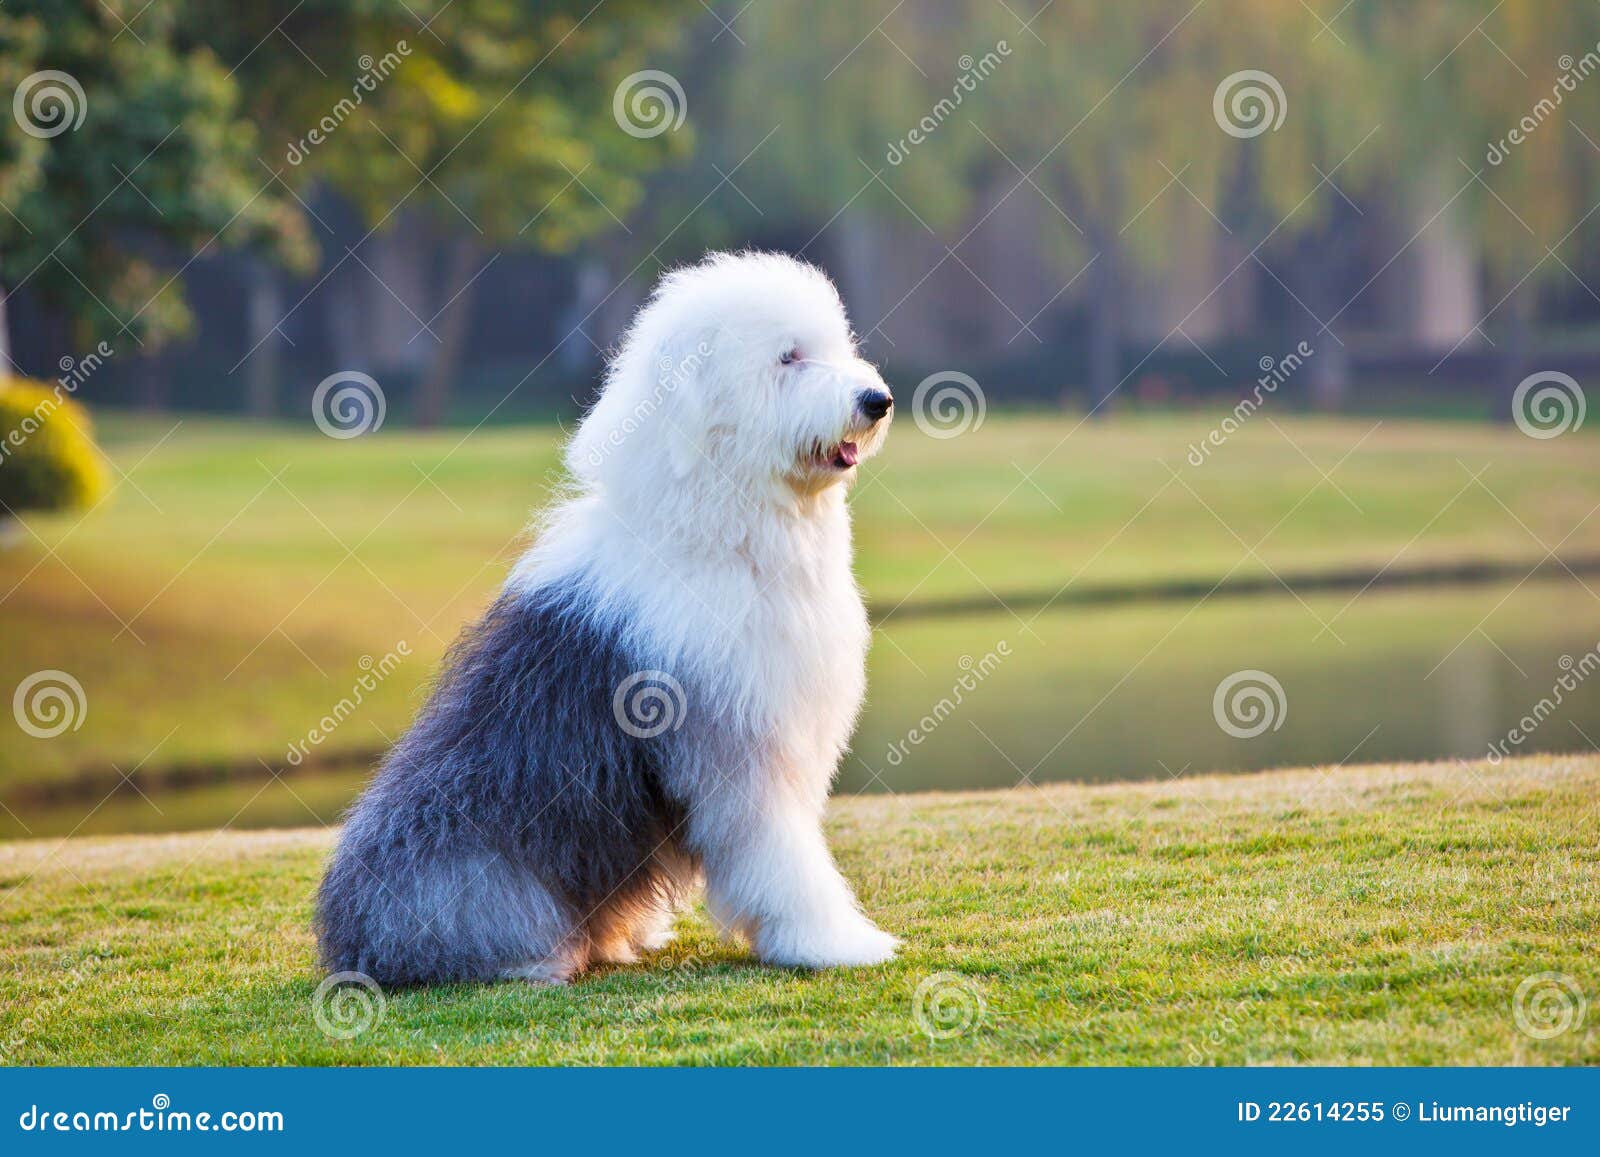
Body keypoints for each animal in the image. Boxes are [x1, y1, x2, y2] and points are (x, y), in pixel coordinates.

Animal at [315, 252, 902, 985]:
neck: (722, 531)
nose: (876, 400)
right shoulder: (743, 751)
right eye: (789, 357)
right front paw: (831, 940)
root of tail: (347, 937)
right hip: (474, 884)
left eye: (835, 346)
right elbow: (784, 857)